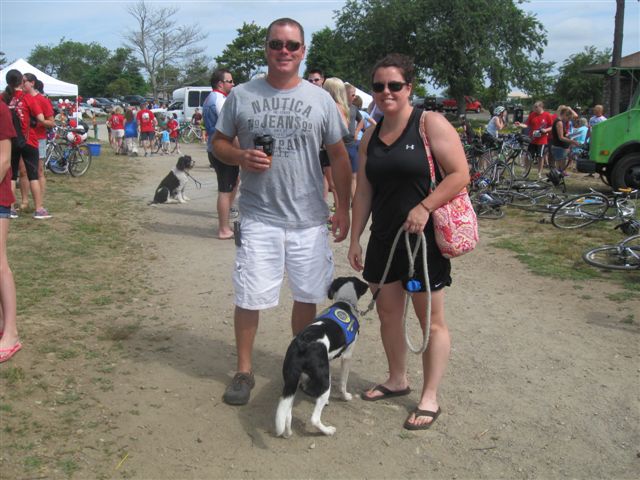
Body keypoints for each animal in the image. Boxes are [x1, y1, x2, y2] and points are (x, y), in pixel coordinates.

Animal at [275, 276, 369, 438]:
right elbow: (343, 382)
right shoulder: (347, 356)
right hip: (325, 383)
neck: (344, 302)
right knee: (314, 419)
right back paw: (327, 430)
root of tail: (303, 343)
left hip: (291, 381)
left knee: (287, 414)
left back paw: (287, 433)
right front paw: (345, 396)